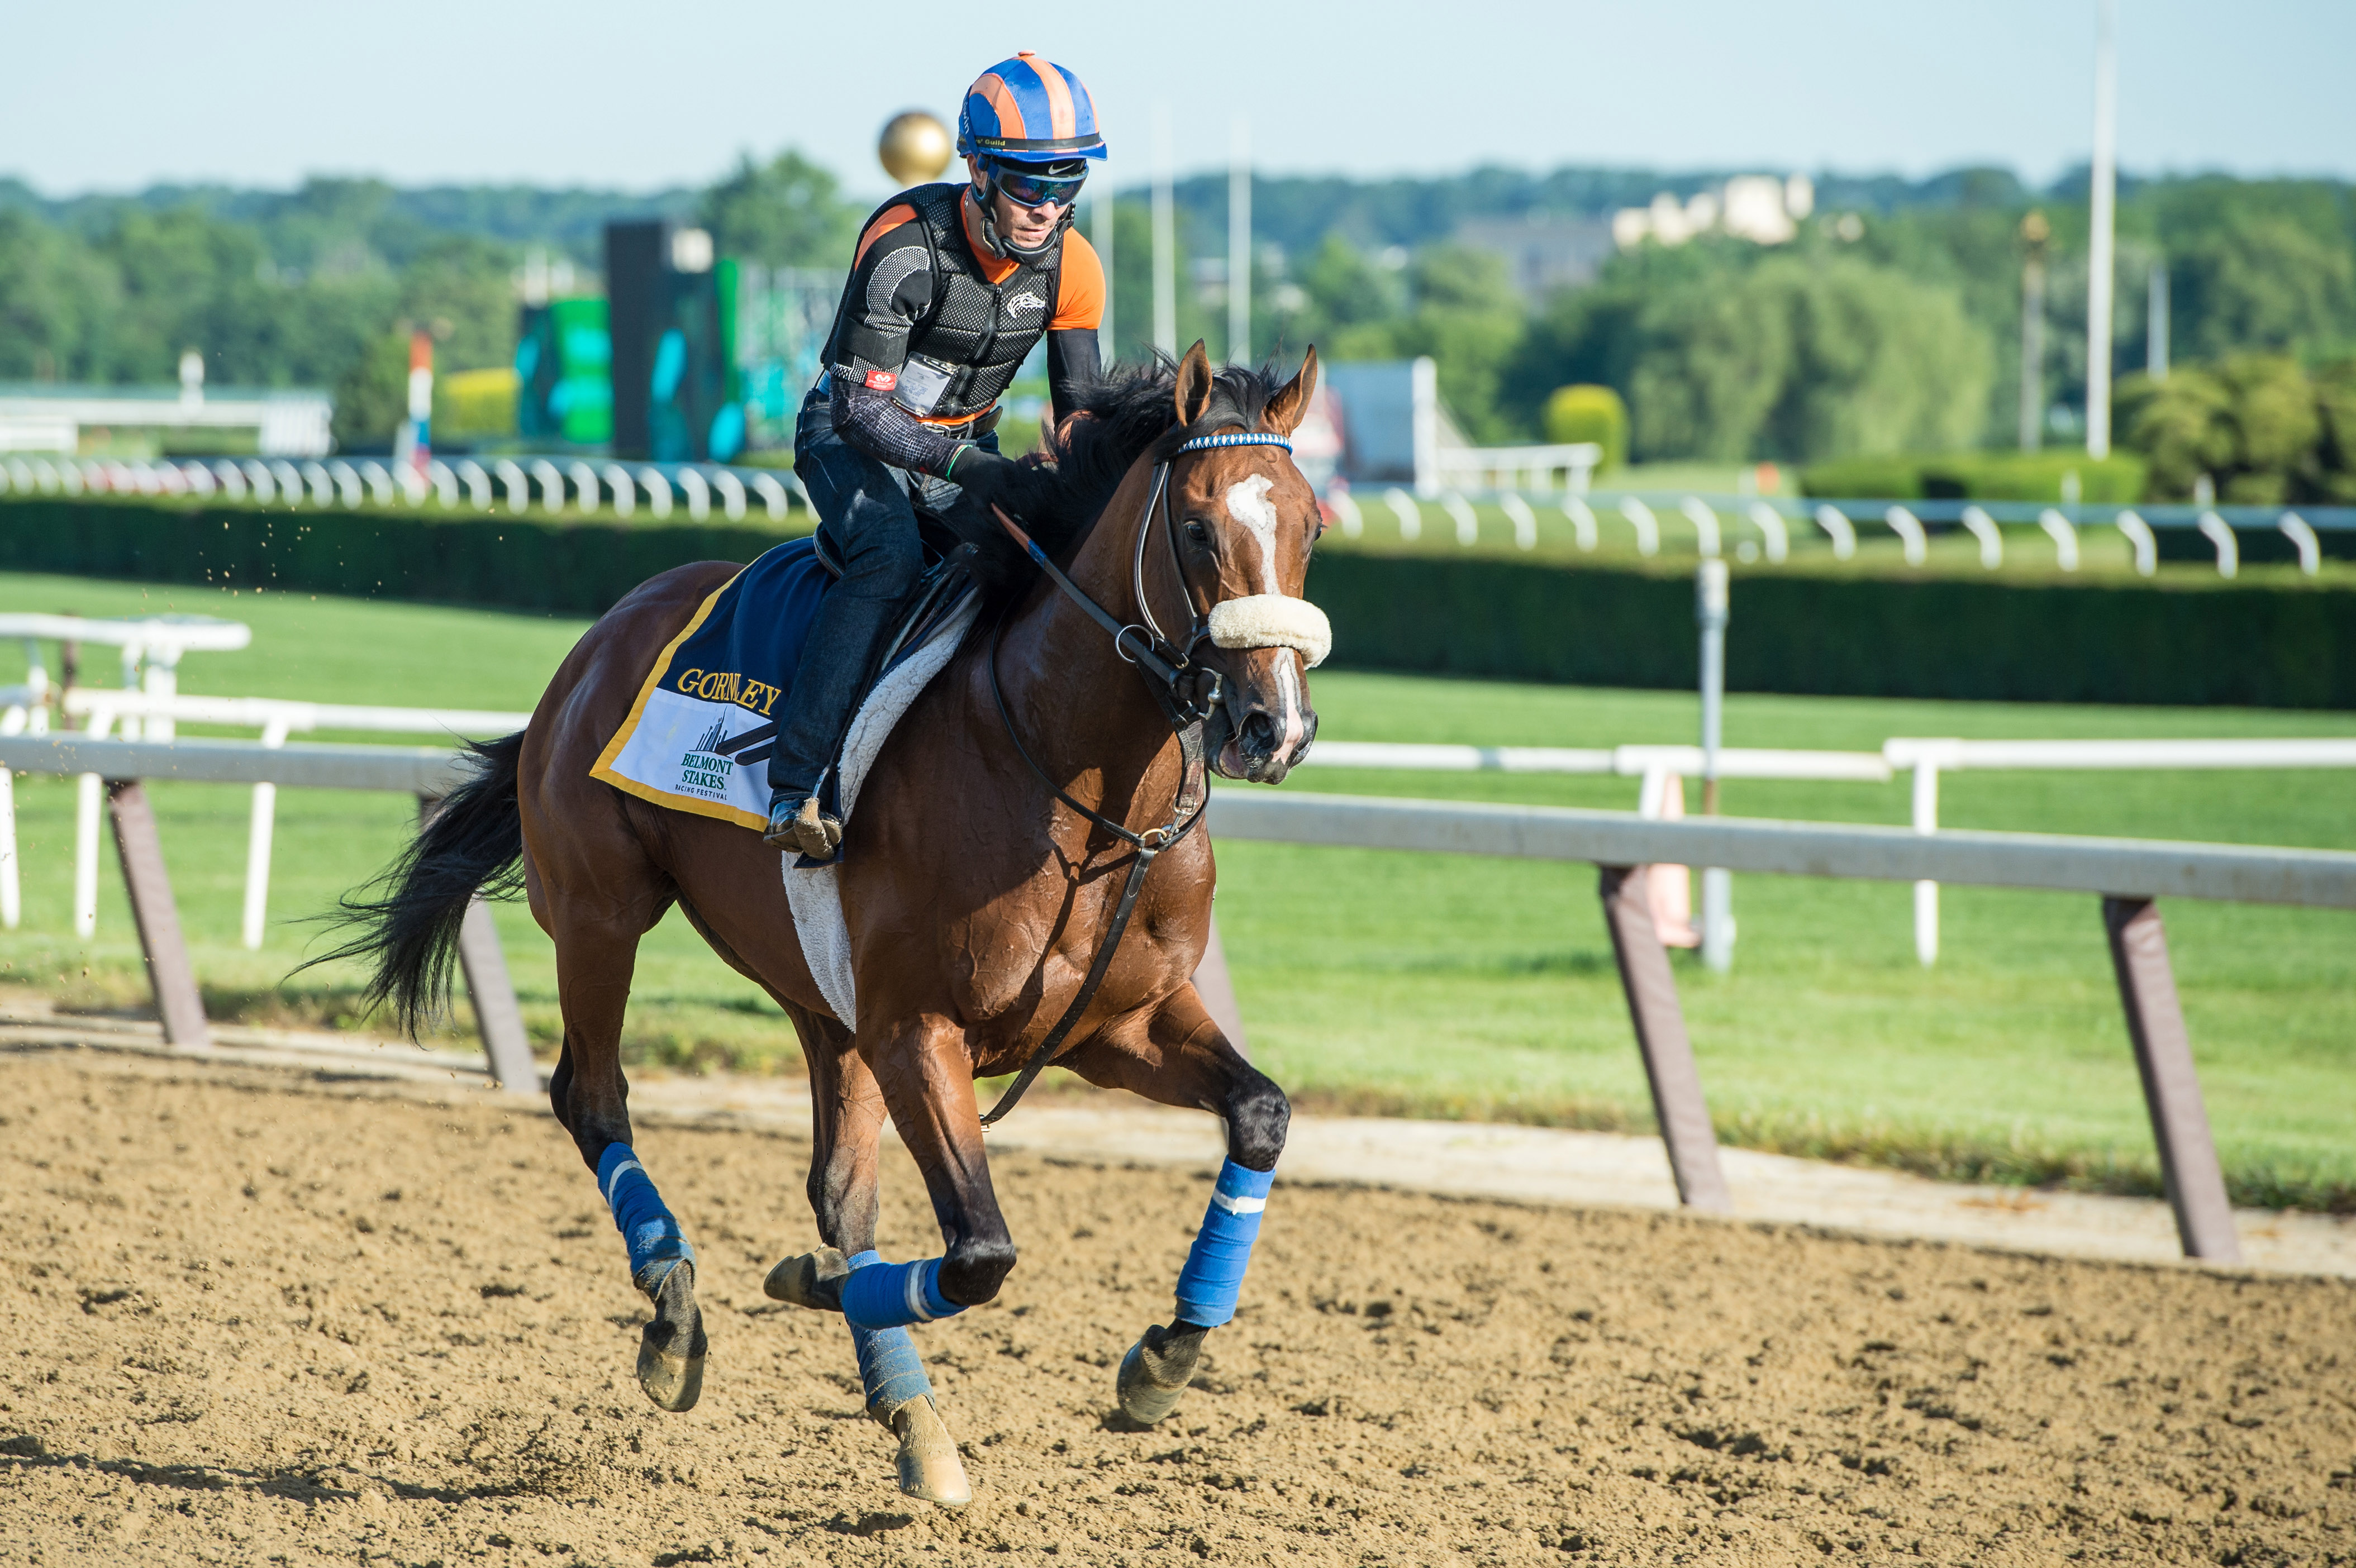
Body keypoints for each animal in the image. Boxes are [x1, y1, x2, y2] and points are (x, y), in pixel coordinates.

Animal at [325, 346, 1338, 1507]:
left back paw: (910, 1415)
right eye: (1199, 529)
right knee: (592, 1096)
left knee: (838, 1189)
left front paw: (1162, 1359)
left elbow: (1259, 1114)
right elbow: (980, 1252)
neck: (1070, 783)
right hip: (599, 910)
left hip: (820, 1001)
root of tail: (599, 637)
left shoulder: (1114, 1023)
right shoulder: (915, 1029)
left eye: (1311, 525)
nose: (1273, 726)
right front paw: (805, 1293)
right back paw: (678, 1316)